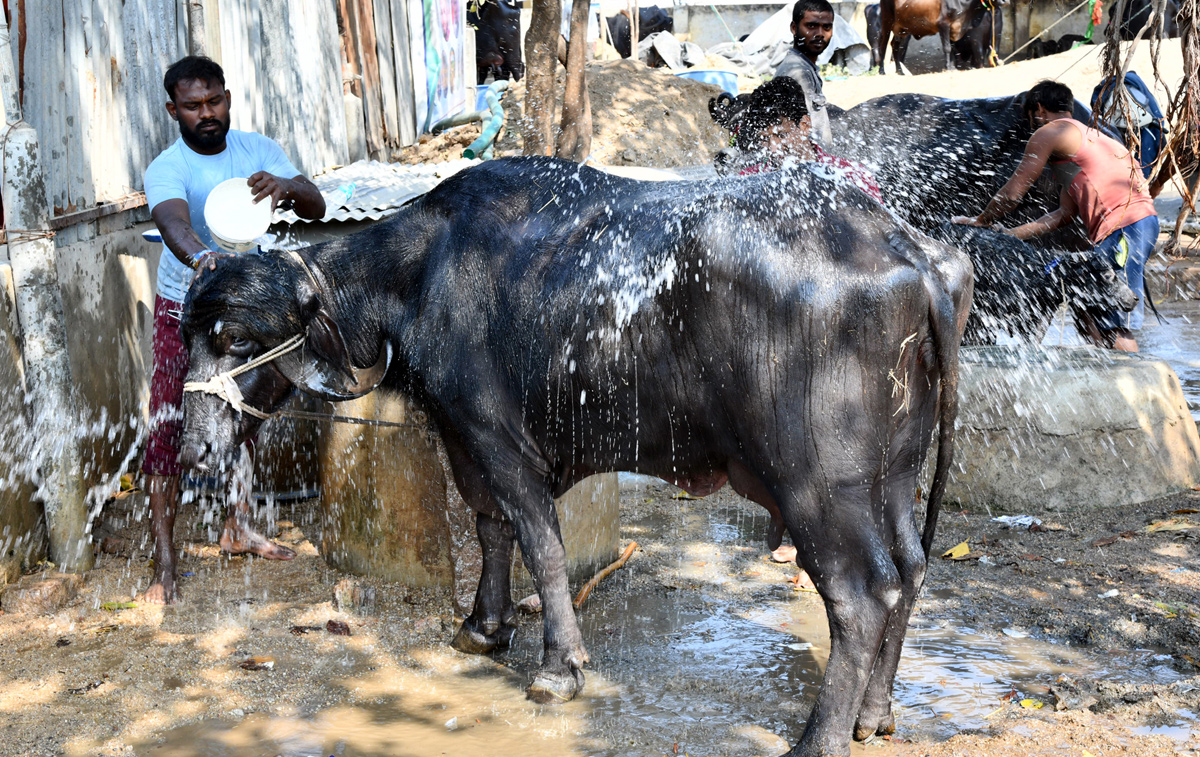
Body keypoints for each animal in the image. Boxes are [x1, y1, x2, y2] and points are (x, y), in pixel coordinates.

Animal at [182, 157, 979, 753]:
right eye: (191, 335)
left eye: (238, 339)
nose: (194, 448)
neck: (421, 273)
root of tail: (908, 251)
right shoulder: (467, 443)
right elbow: (492, 529)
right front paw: (483, 627)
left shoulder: (497, 440)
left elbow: (540, 542)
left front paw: (558, 667)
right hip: (894, 477)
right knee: (910, 570)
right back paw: (875, 714)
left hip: (818, 486)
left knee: (861, 593)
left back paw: (819, 737)